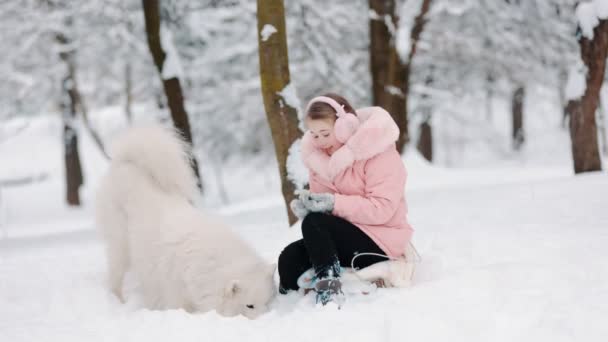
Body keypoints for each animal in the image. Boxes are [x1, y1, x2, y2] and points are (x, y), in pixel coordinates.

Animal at [95, 125, 276, 318]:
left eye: (268, 302)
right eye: (249, 306)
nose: (267, 317)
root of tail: (125, 162)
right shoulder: (175, 290)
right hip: (120, 247)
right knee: (115, 276)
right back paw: (118, 300)